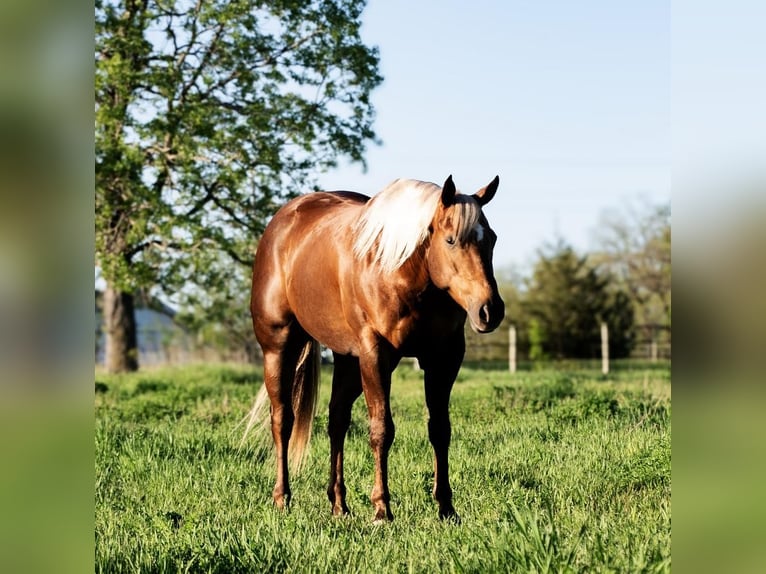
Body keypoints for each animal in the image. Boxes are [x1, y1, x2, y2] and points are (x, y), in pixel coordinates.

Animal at [246, 177, 508, 528]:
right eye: (451, 239)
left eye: (491, 238)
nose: (489, 310)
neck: (404, 271)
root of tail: (282, 222)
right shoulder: (376, 354)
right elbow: (381, 430)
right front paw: (382, 509)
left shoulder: (444, 358)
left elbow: (440, 429)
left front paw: (446, 508)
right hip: (279, 347)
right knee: (282, 420)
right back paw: (281, 499)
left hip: (347, 359)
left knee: (337, 421)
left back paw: (339, 505)